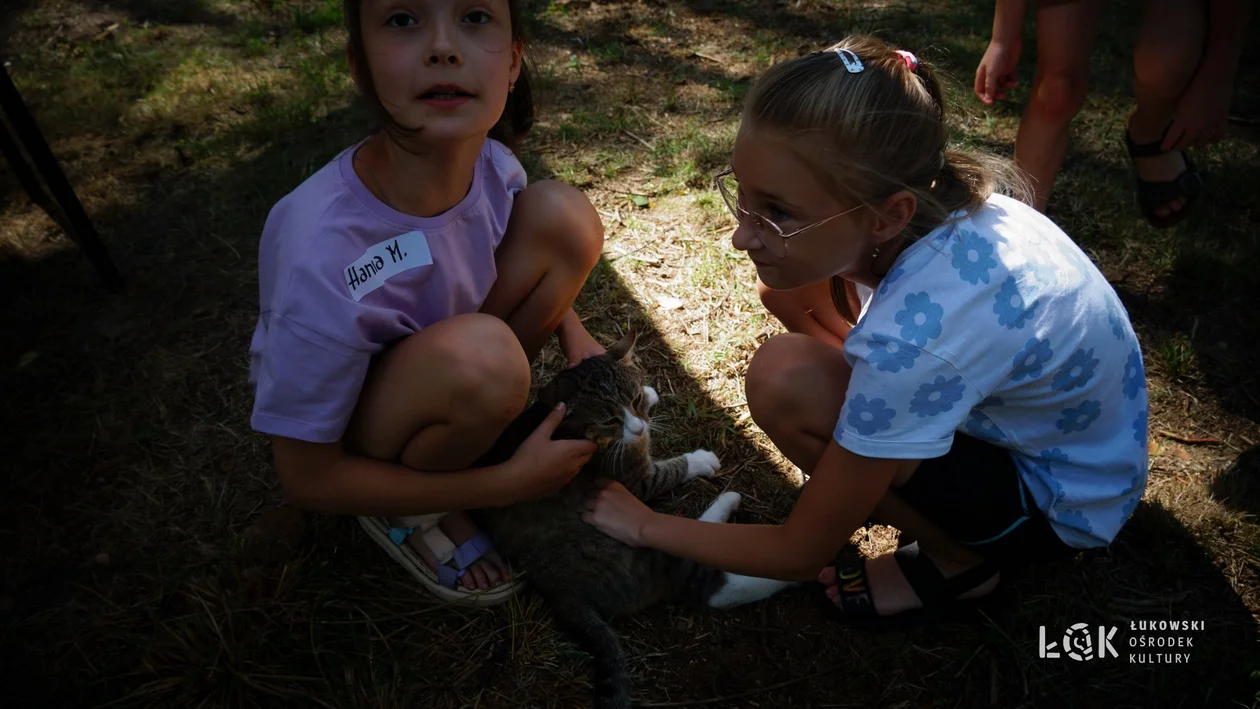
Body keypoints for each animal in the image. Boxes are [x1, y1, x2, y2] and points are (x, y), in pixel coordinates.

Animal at [468, 332, 791, 709]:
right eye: (608, 420)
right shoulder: (637, 480)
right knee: (708, 582)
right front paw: (698, 460)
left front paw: (650, 392)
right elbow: (670, 470)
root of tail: (558, 590)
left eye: (633, 400)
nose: (638, 428)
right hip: (643, 555)